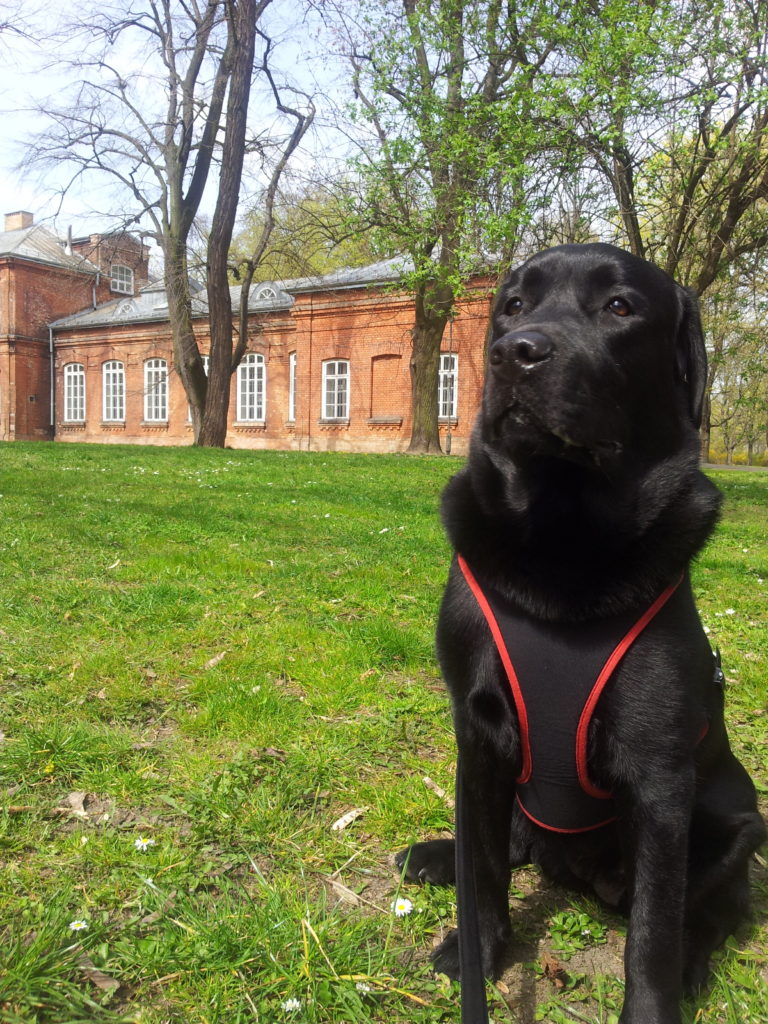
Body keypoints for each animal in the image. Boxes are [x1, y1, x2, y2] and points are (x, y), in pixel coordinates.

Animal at [399, 245, 765, 1024]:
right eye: (512, 305)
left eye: (620, 308)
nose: (514, 351)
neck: (562, 536)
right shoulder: (476, 733)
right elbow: (486, 867)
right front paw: (477, 950)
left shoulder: (658, 774)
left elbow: (653, 930)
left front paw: (654, 1006)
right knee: (503, 846)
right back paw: (439, 856)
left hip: (738, 817)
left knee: (709, 907)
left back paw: (694, 961)